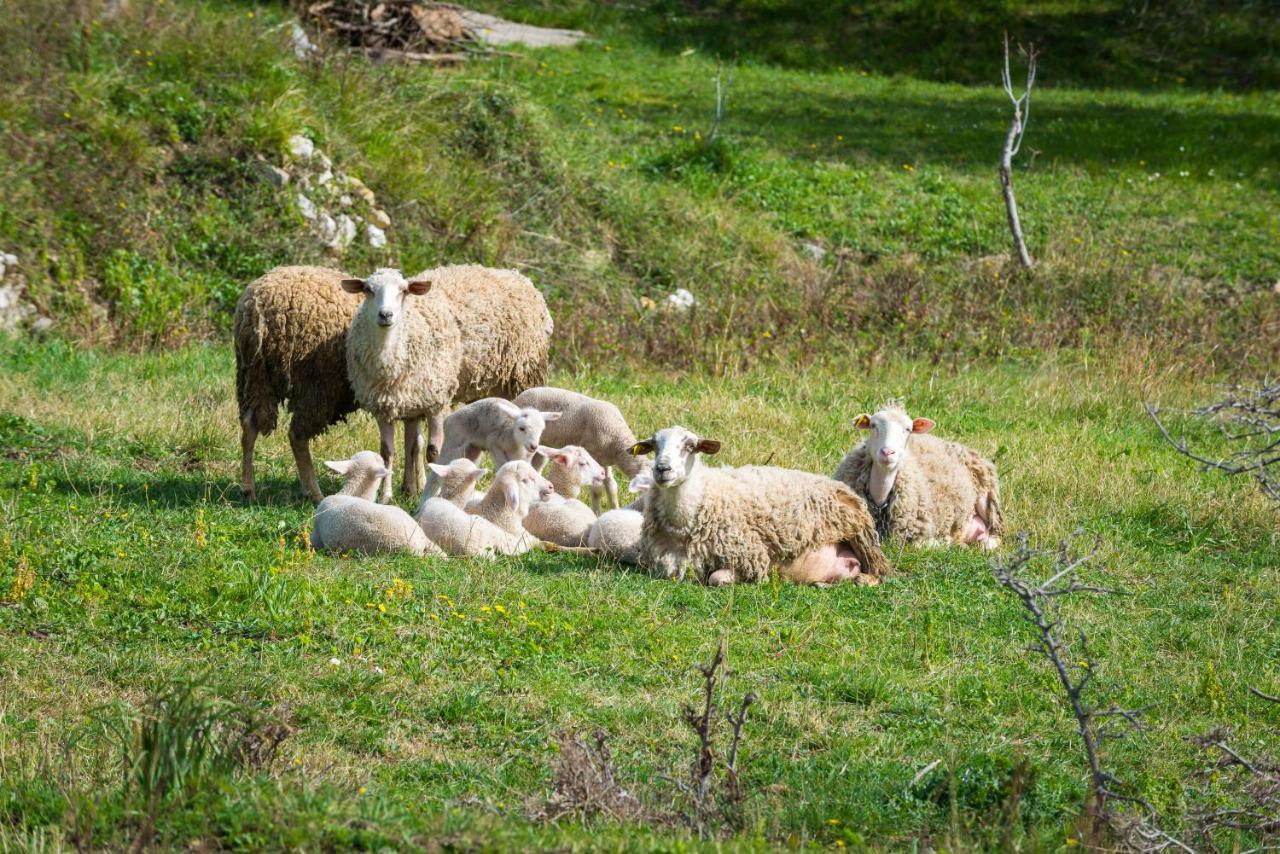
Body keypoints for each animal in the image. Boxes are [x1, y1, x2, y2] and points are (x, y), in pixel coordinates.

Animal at [632, 427, 890, 588]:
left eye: (690, 446)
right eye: (654, 445)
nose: (662, 469)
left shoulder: (751, 556)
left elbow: (718, 578)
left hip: (860, 532)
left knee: (882, 570)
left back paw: (865, 580)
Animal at [834, 399, 1003, 547]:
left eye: (908, 429)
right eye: (873, 425)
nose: (887, 452)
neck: (880, 499)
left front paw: (945, 542)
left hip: (988, 499)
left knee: (997, 535)